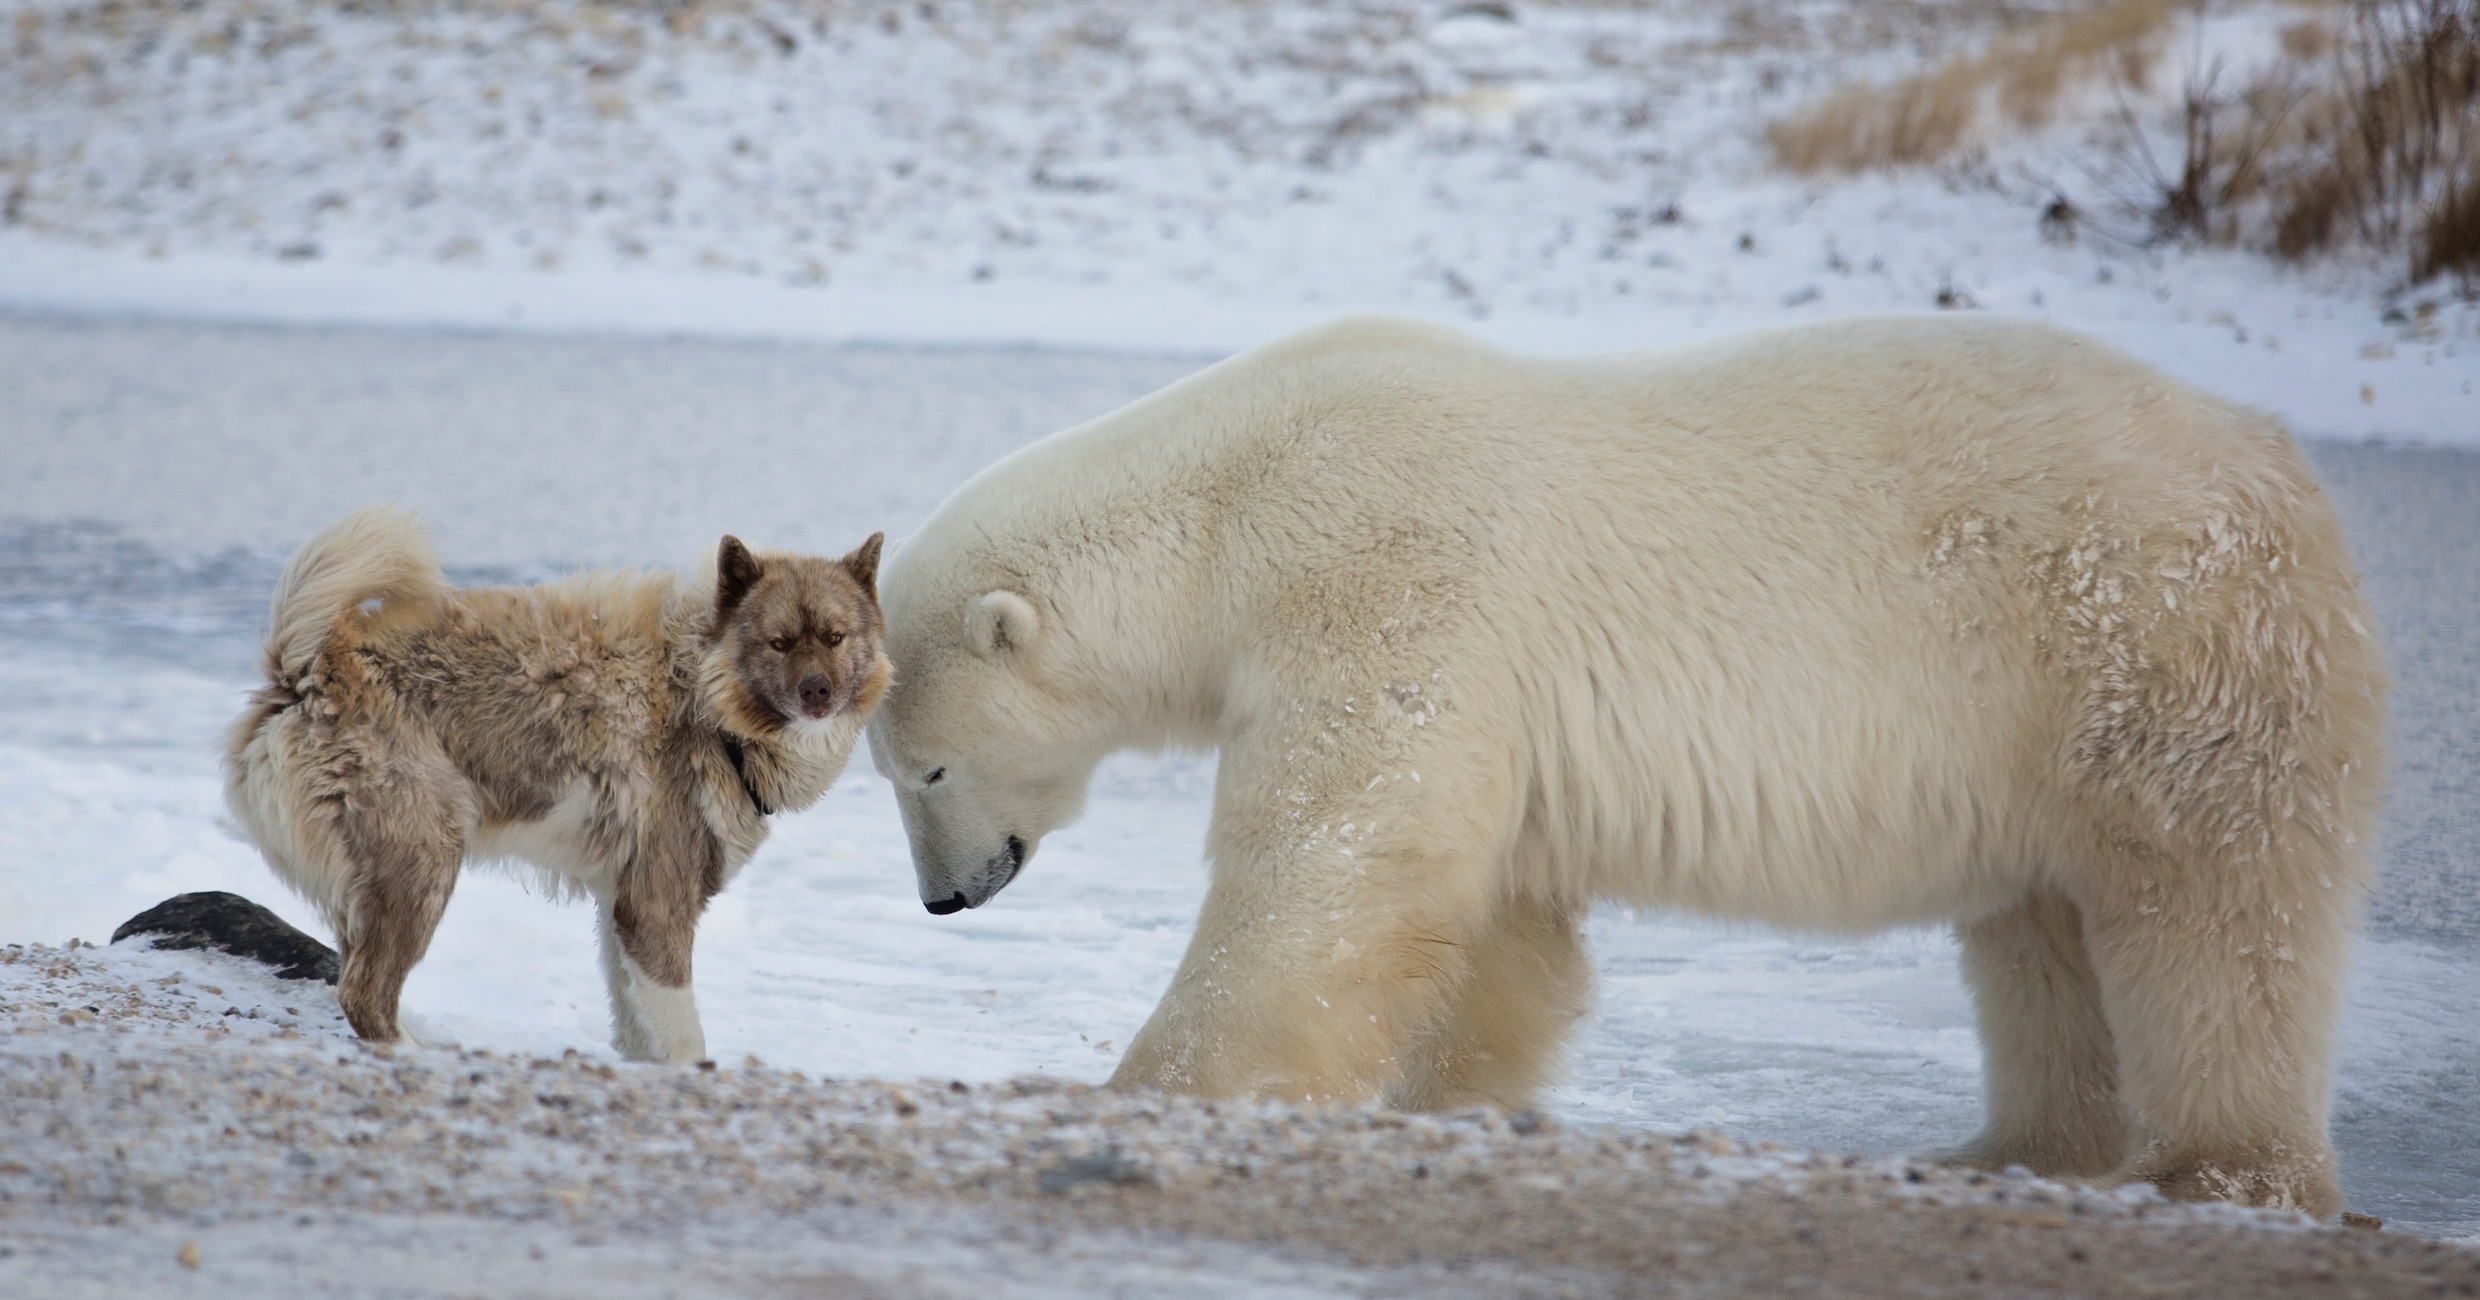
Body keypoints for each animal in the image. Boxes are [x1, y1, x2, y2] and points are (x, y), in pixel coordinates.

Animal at [868, 317, 2380, 1220]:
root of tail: (2288, 468)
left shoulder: (1388, 577)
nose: (943, 900)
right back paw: (2010, 1146)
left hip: (2148, 652)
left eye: (923, 772)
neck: (1236, 502)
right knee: (2041, 934)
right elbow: (1498, 924)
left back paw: (2216, 1166)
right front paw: (1452, 1100)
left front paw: (1155, 1086)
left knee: (2210, 913)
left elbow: (1334, 859)